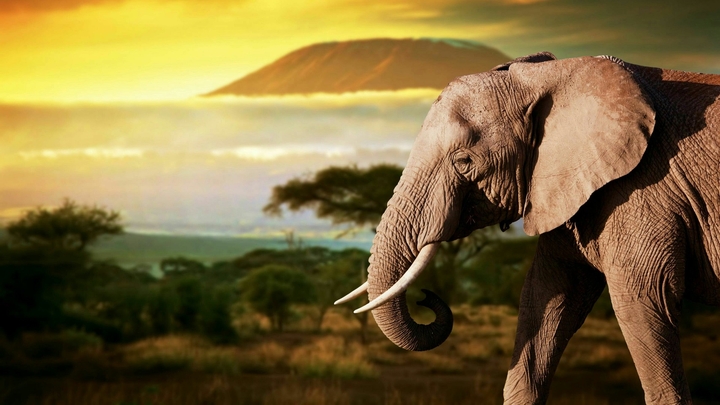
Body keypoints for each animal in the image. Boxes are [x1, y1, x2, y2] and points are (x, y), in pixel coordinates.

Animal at [335, 52, 720, 404]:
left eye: (464, 162)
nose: (425, 298)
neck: (548, 76)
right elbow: (547, 298)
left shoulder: (645, 187)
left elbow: (642, 299)